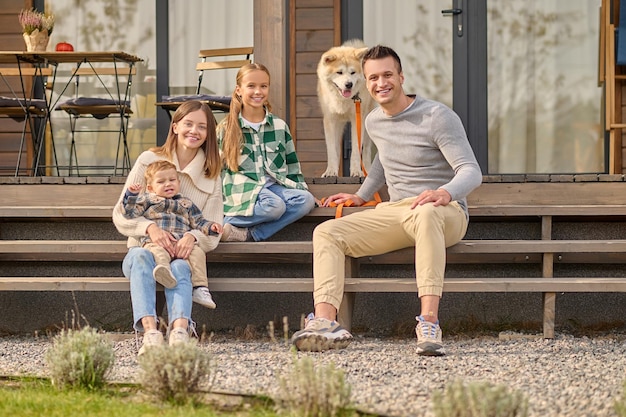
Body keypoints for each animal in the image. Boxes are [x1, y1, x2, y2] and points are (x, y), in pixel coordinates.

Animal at [316, 39, 376, 176]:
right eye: (339, 72)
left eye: (352, 72)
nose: (349, 84)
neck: (342, 100)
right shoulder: (330, 120)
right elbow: (332, 150)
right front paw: (330, 171)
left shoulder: (357, 119)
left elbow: (356, 151)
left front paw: (356, 171)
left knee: (366, 150)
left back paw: (367, 170)